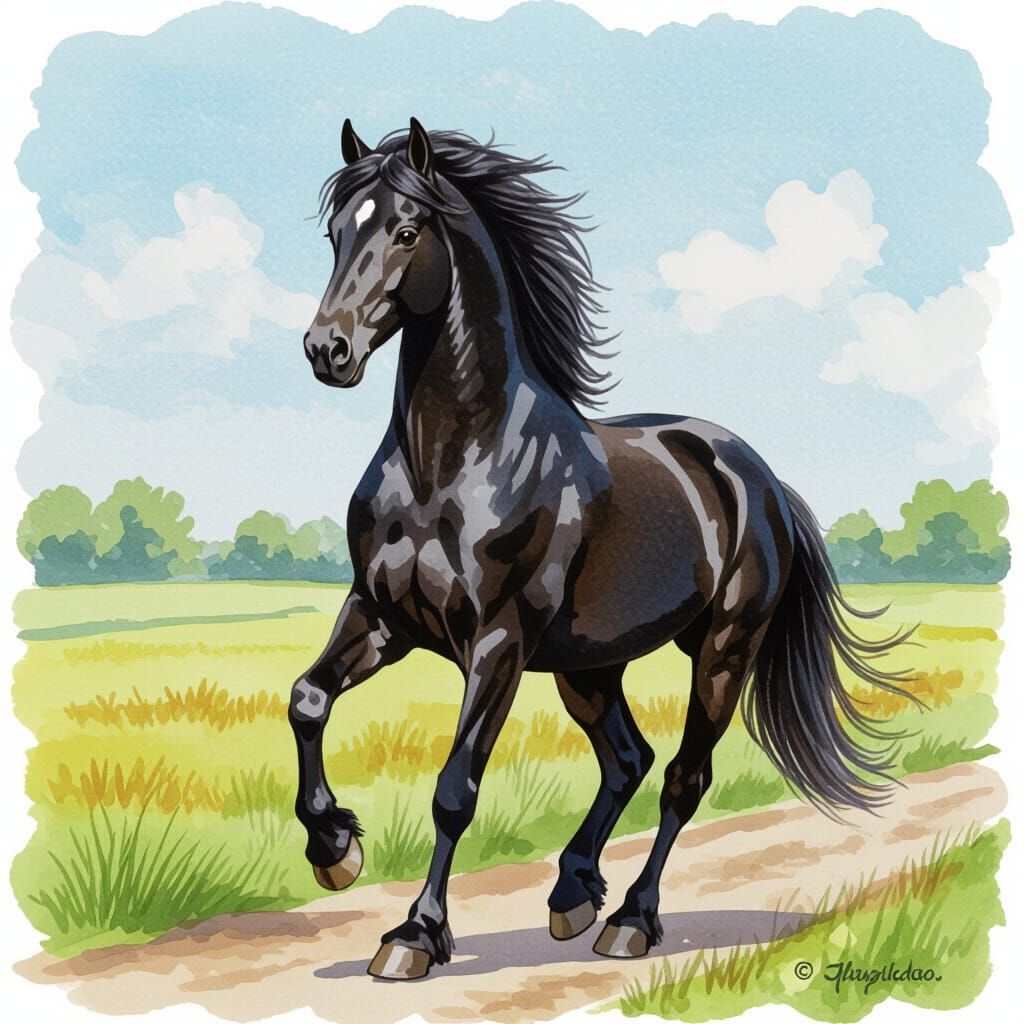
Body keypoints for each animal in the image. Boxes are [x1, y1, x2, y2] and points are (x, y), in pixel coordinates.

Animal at [290, 118, 914, 980]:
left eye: (407, 232)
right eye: (335, 234)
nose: (328, 350)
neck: (447, 465)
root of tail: (759, 478)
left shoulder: (498, 641)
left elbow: (455, 788)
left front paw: (413, 935)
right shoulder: (383, 616)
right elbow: (307, 701)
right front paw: (335, 849)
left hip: (722, 650)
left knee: (682, 777)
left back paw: (630, 920)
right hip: (589, 665)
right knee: (628, 760)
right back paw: (571, 892)